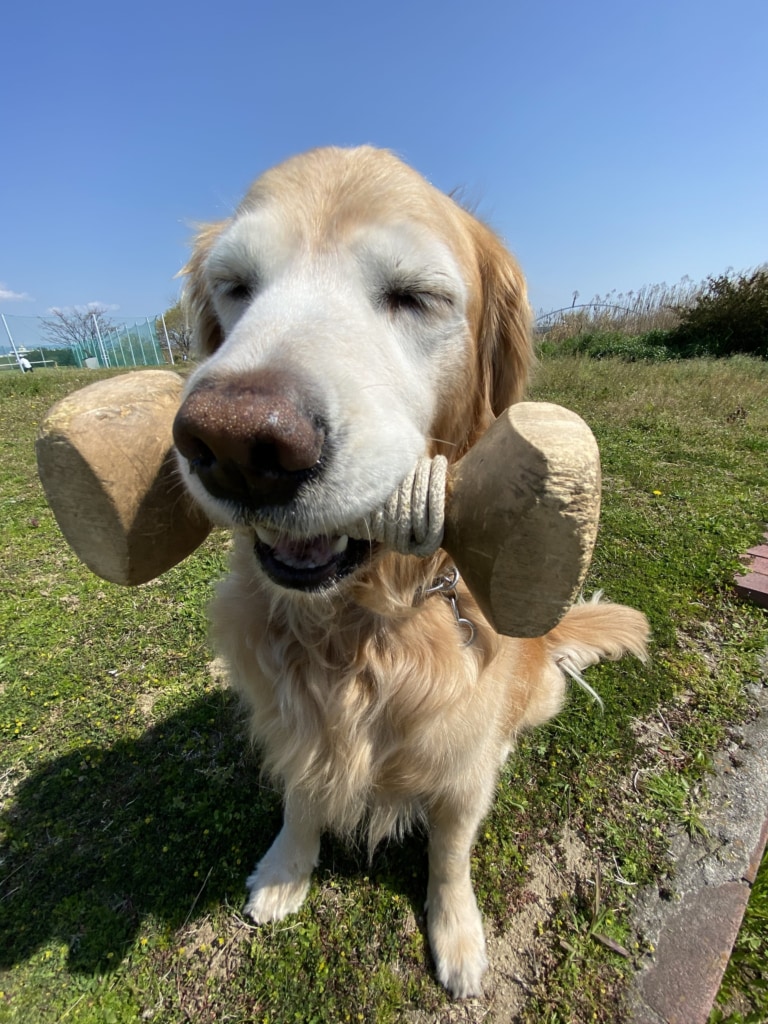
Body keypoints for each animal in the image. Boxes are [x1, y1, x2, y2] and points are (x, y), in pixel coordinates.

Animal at [173, 148, 651, 995]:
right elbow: (301, 798)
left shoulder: (458, 768)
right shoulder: (289, 719)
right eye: (236, 286)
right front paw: (286, 870)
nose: (232, 445)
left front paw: (456, 934)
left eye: (414, 297)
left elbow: (451, 851)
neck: (359, 626)